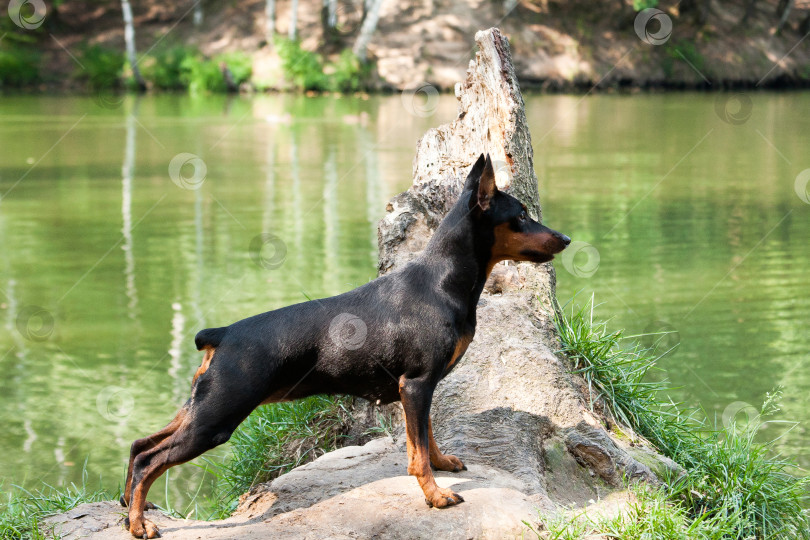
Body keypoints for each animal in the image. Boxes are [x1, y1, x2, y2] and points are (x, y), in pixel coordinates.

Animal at [120, 154, 568, 536]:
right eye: (521, 216)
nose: (564, 238)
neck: (441, 282)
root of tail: (222, 333)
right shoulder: (417, 384)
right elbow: (418, 453)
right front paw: (436, 495)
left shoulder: (421, 388)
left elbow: (427, 436)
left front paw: (443, 463)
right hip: (217, 417)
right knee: (150, 459)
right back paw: (140, 525)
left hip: (200, 406)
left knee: (140, 445)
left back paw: (129, 508)